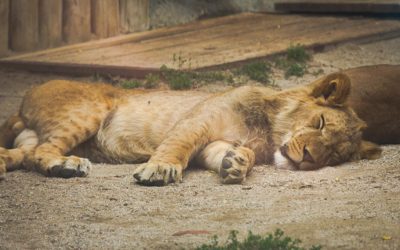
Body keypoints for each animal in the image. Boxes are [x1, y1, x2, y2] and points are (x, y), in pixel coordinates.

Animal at [0, 70, 382, 186]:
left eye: (334, 154)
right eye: (319, 122)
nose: (309, 159)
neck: (267, 132)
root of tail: (24, 99)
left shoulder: (216, 141)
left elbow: (226, 152)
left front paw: (236, 163)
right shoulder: (198, 120)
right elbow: (177, 147)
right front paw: (159, 169)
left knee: (24, 153)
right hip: (89, 111)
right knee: (42, 151)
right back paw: (66, 165)